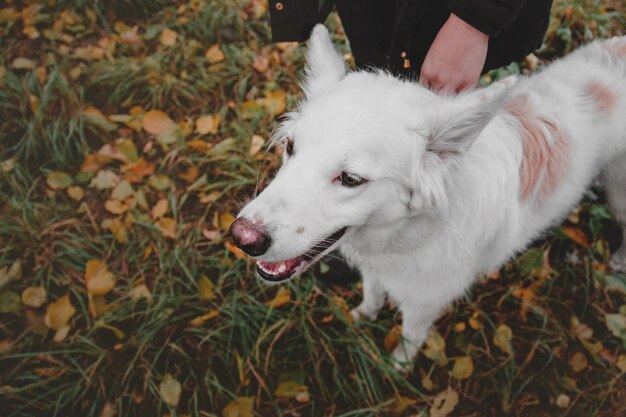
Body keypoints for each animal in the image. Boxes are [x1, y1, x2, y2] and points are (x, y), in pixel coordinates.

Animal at [230, 24, 624, 366]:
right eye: (291, 147)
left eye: (351, 179)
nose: (241, 238)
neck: (410, 234)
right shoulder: (377, 270)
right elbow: (372, 293)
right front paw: (363, 316)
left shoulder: (424, 302)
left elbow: (411, 334)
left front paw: (399, 366)